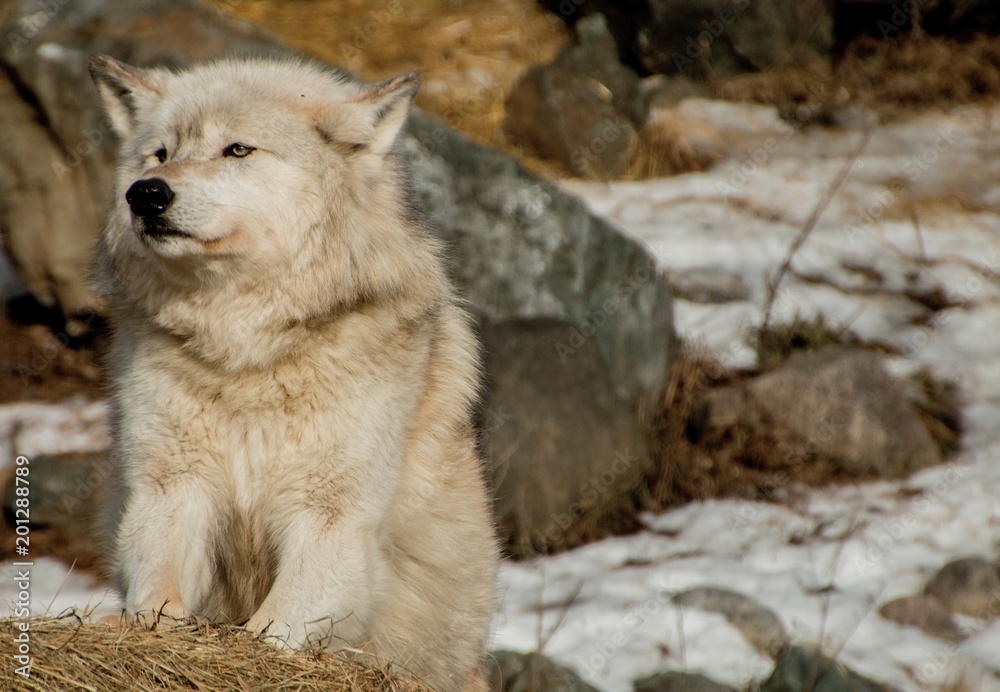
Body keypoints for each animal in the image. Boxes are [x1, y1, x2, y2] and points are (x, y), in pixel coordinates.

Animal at [88, 54, 497, 691]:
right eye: (159, 153)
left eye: (238, 149)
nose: (146, 194)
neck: (245, 356)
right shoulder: (171, 489)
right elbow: (158, 597)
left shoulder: (332, 518)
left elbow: (275, 629)